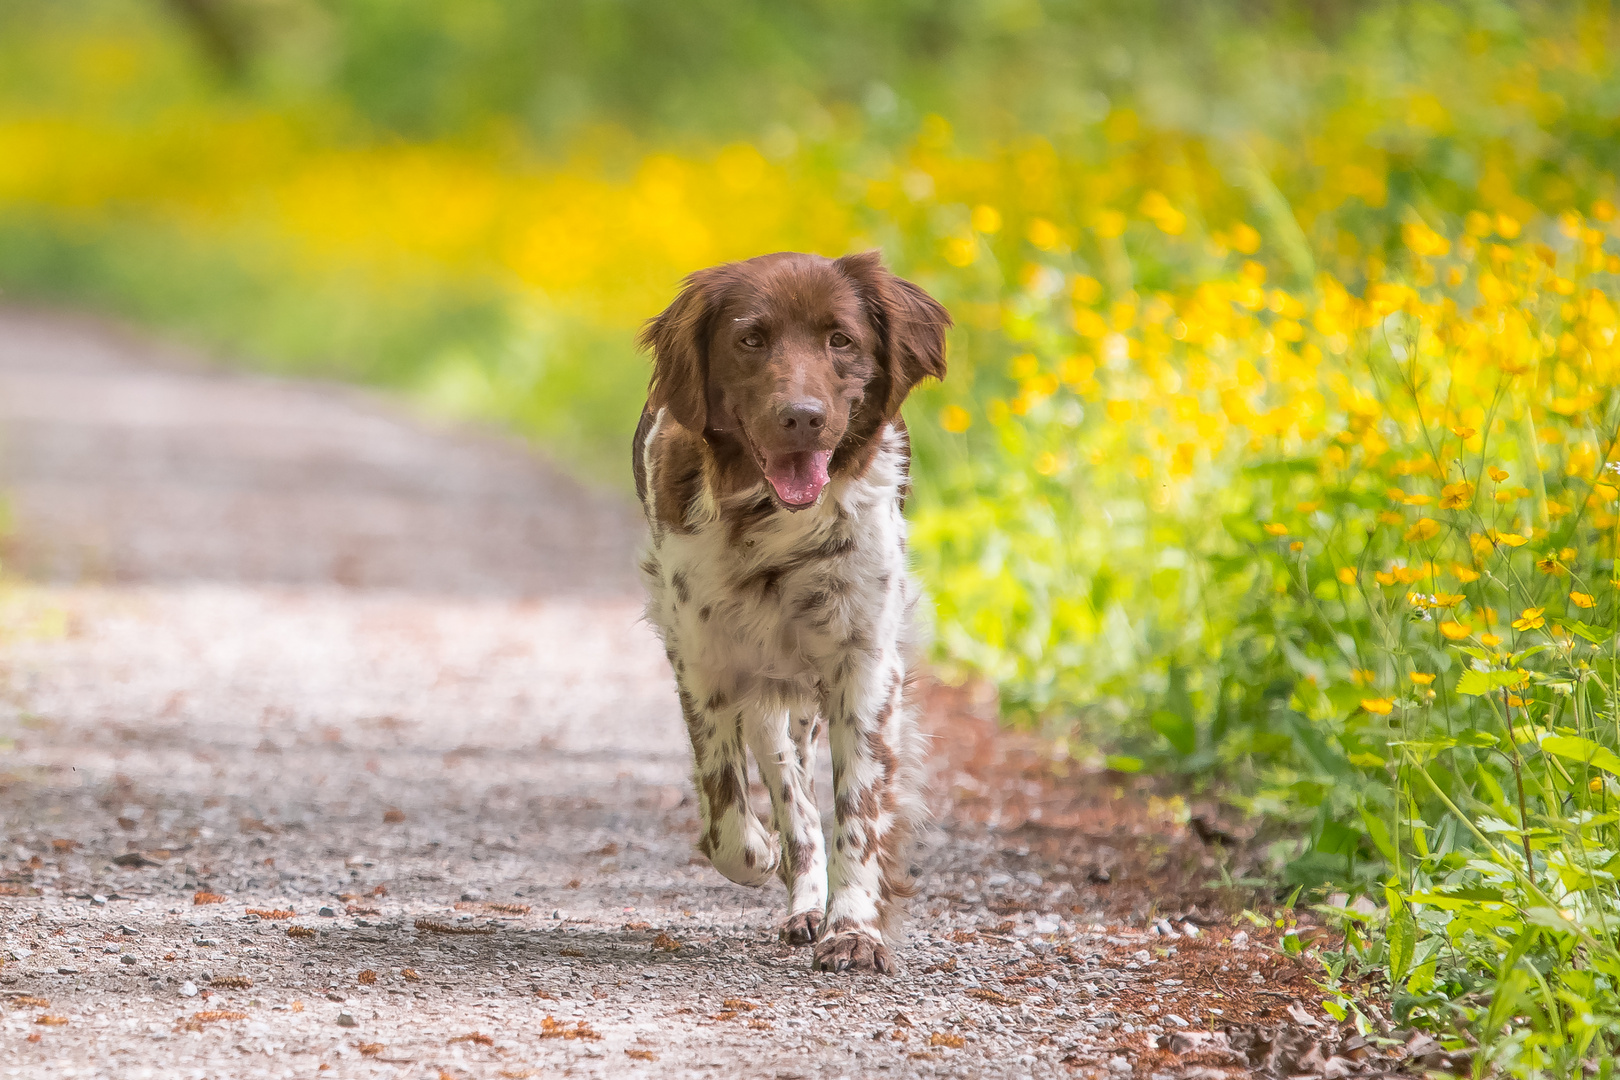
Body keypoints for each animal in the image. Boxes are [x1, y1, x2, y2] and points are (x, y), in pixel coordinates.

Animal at [631, 250, 946, 971]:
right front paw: (763, 852)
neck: (775, 524)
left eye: (841, 340)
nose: (801, 416)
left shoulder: (865, 665)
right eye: (750, 339)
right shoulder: (707, 665)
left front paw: (854, 930)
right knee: (791, 798)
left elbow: (860, 808)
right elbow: (731, 822)